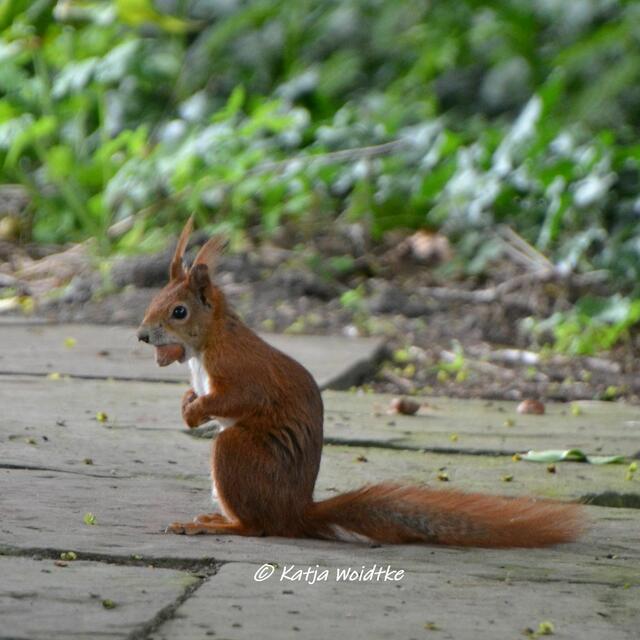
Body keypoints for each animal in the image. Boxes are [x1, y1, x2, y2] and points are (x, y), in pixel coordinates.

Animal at [136, 218, 584, 547]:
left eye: (178, 311)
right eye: (153, 300)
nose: (141, 336)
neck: (207, 343)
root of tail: (296, 511)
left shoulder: (240, 369)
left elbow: (240, 398)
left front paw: (197, 410)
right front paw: (188, 405)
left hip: (237, 454)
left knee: (259, 527)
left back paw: (212, 525)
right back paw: (214, 515)